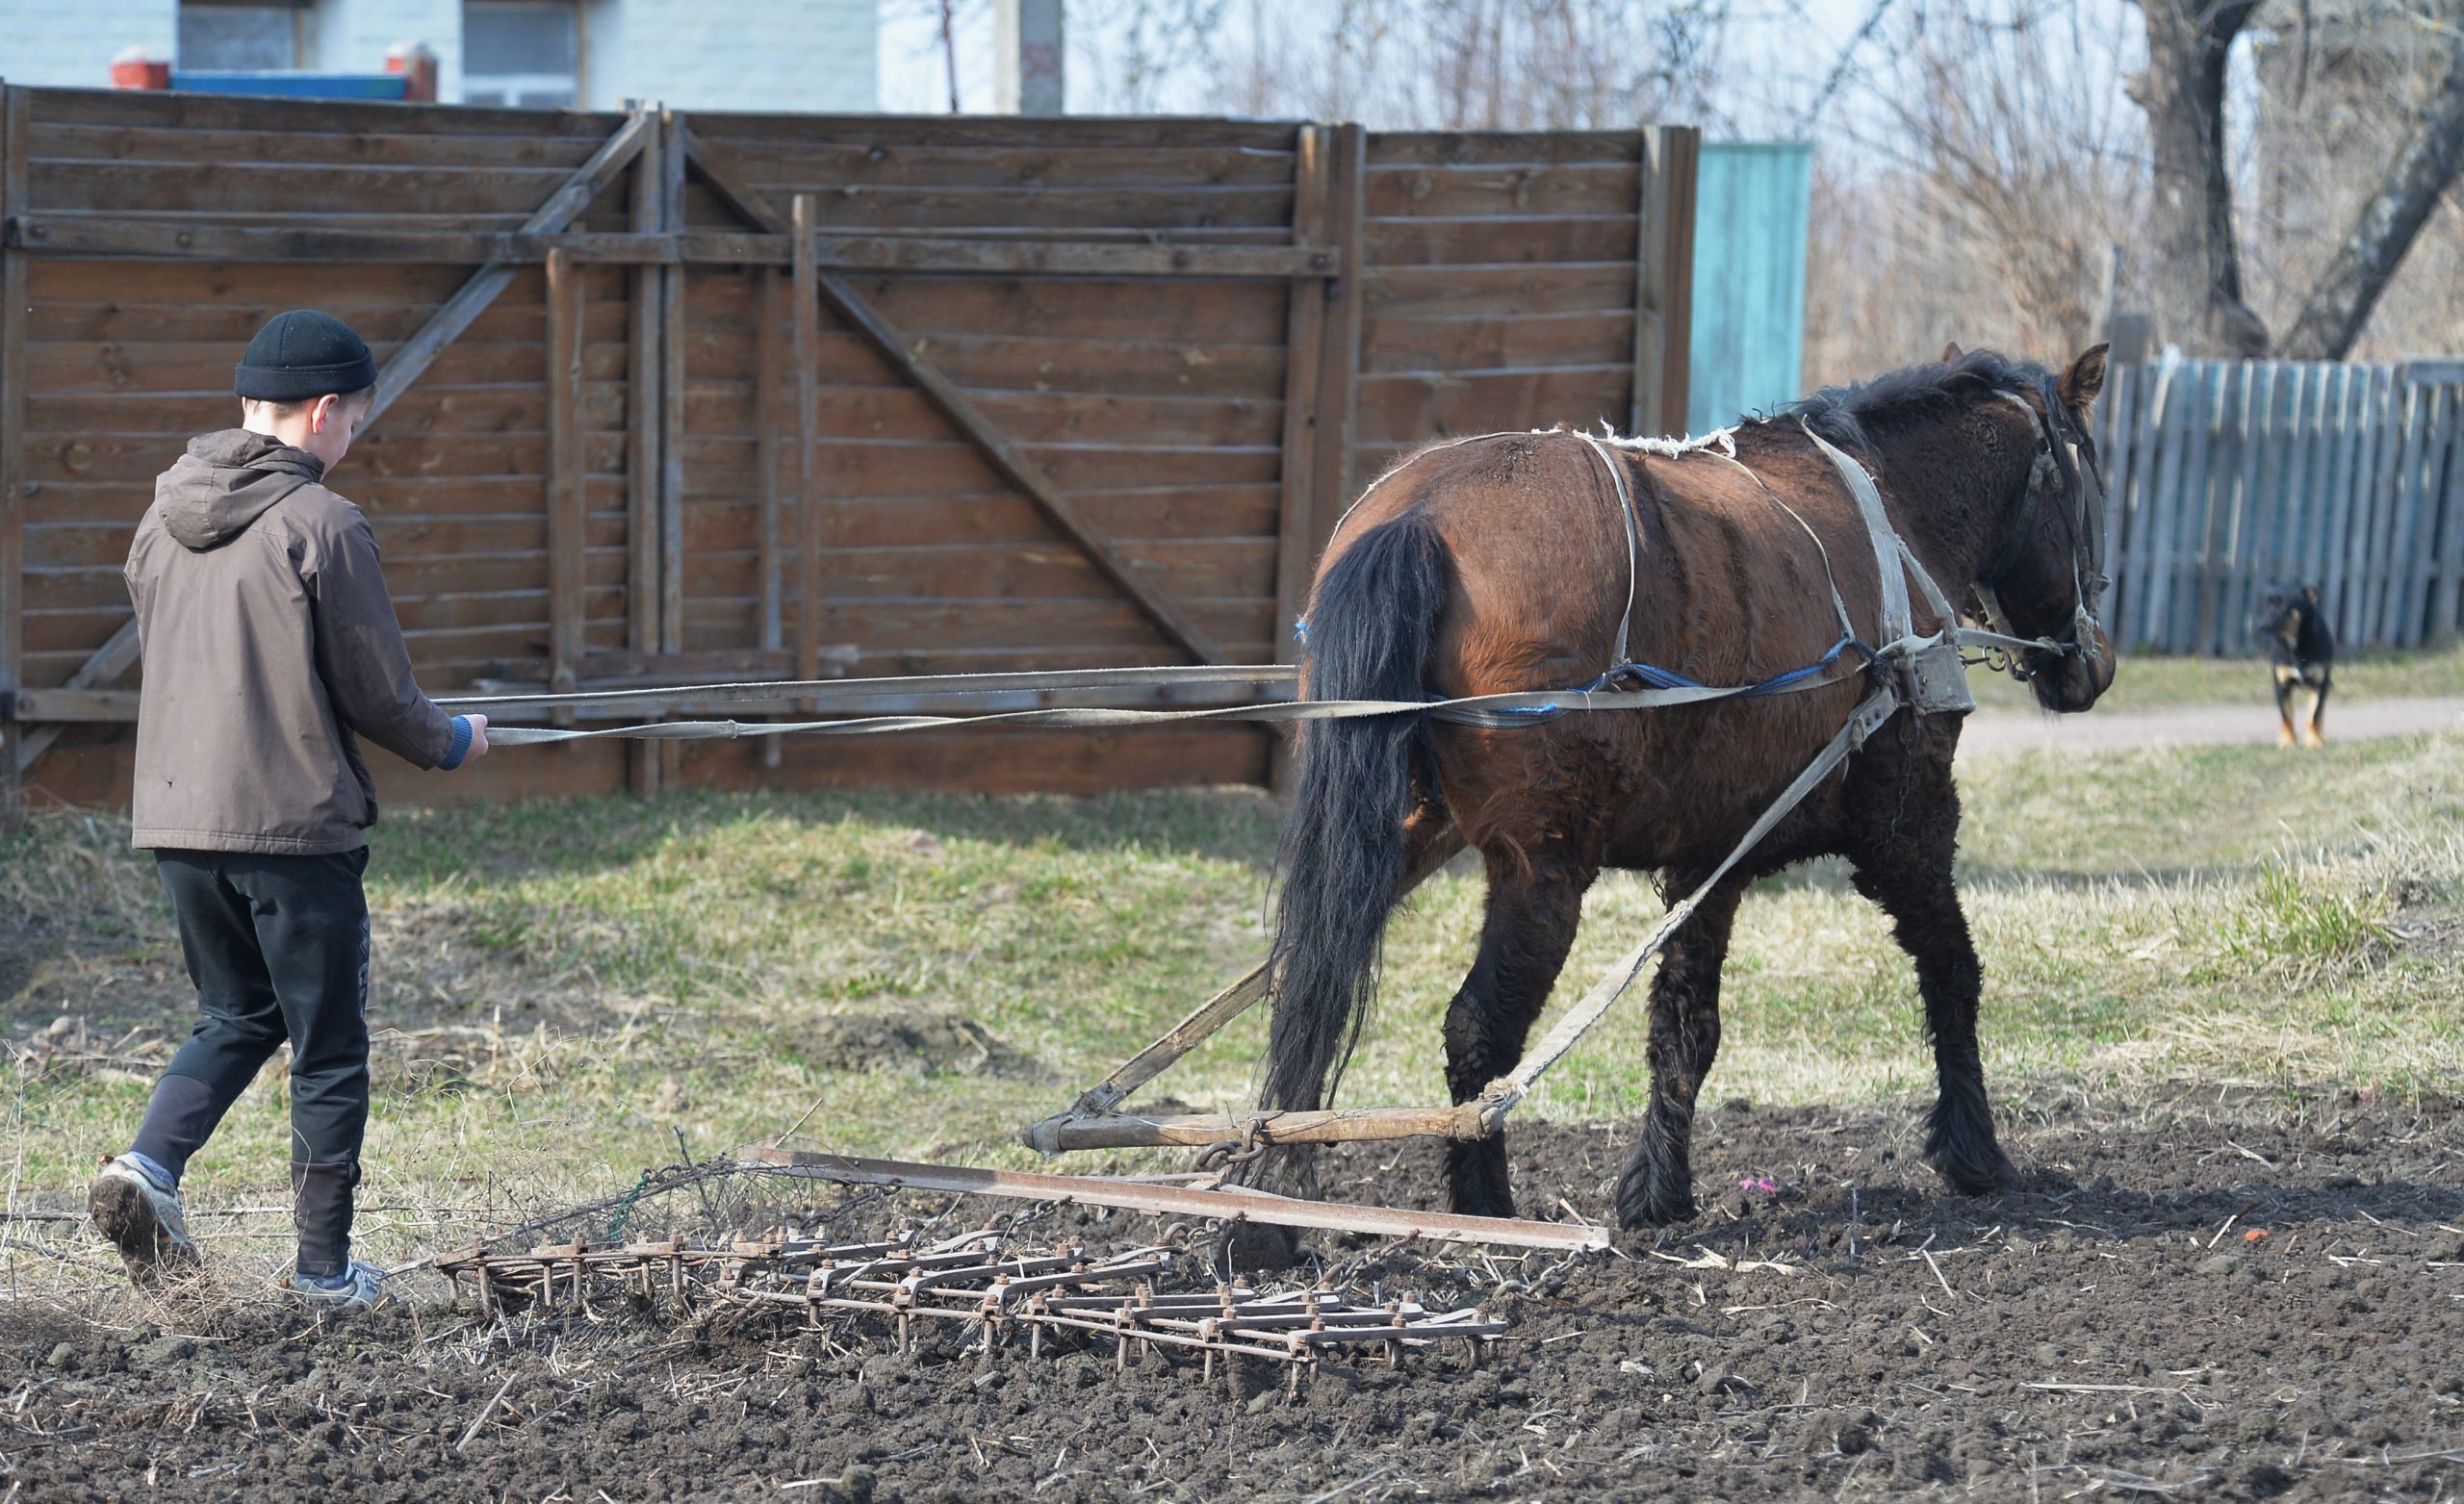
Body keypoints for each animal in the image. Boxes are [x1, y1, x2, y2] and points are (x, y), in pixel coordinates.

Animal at [1261, 344, 2109, 1236]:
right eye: (2091, 485)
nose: (2094, 664)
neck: (1892, 511)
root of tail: (1420, 516)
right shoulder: (1906, 829)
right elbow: (1952, 968)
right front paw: (1973, 1149)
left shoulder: (1711, 859)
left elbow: (1683, 1026)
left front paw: (1656, 1190)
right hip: (1543, 870)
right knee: (1477, 1030)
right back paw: (1486, 1208)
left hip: (1388, 835)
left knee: (1307, 989)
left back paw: (1272, 1204)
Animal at [2256, 588, 2325, 752]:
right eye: (2265, 604)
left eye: (2283, 604)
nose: (2261, 624)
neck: (2295, 646)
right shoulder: (2281, 686)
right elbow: (2286, 716)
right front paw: (2288, 742)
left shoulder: (2319, 685)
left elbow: (2314, 715)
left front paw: (2313, 741)